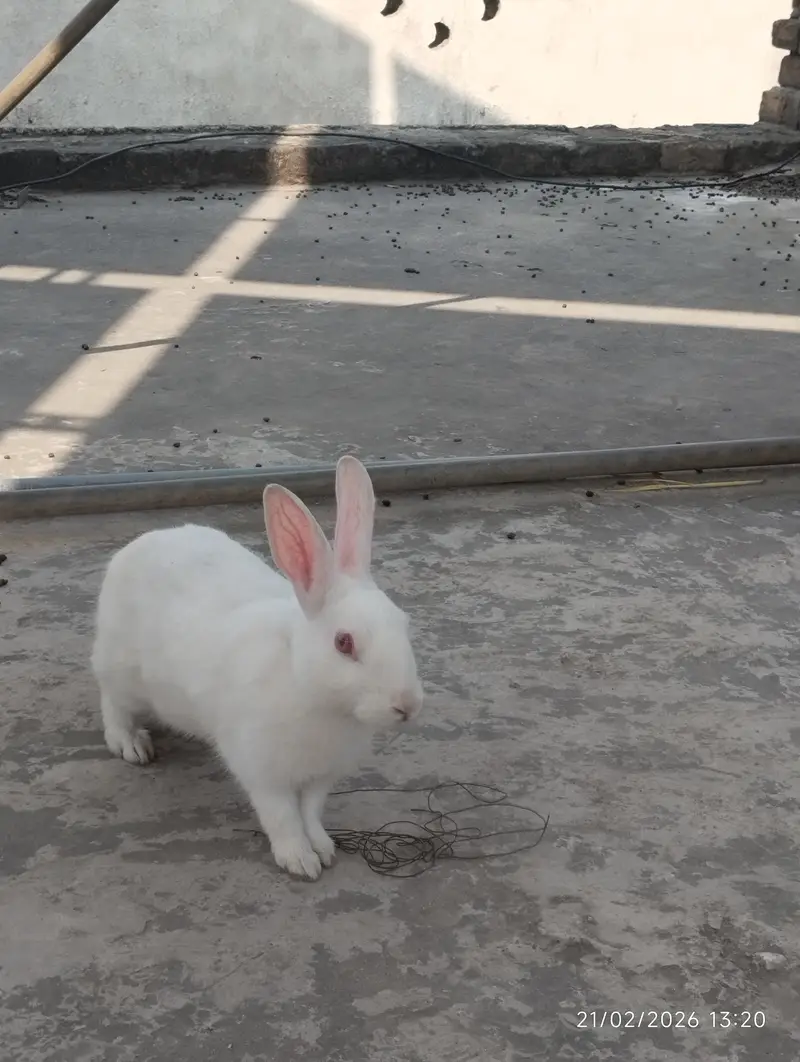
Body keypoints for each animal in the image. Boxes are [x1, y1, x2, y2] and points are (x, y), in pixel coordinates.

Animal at [91, 456, 424, 880]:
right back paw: (131, 744)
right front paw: (300, 861)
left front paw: (324, 848)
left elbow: (310, 812)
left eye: (404, 622)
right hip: (122, 670)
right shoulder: (262, 771)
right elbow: (282, 816)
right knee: (112, 700)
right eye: (344, 642)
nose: (407, 705)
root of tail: (139, 544)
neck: (307, 687)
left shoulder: (320, 778)